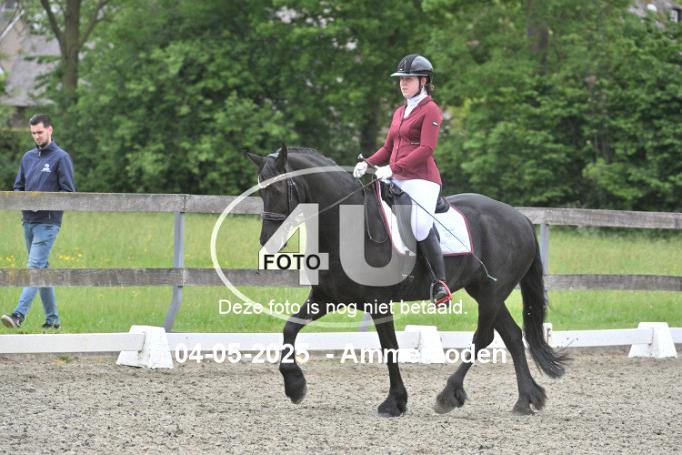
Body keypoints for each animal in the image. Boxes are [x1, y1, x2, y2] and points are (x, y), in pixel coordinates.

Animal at [246, 145, 567, 417]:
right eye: (260, 191)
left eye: (277, 188)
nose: (266, 243)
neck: (346, 226)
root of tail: (520, 218)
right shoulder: (327, 298)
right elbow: (290, 328)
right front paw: (295, 386)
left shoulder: (378, 303)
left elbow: (390, 348)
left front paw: (394, 402)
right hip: (486, 291)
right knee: (512, 336)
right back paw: (525, 400)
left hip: (491, 293)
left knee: (483, 338)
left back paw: (448, 396)